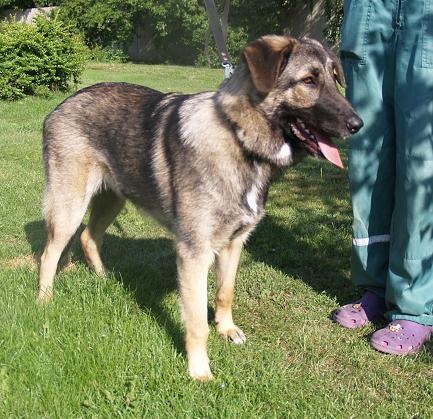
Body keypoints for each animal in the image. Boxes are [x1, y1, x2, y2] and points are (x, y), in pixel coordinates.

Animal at [39, 35, 363, 381]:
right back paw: (44, 300)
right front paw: (199, 369)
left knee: (89, 237)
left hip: (113, 198)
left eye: (334, 77)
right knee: (50, 253)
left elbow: (225, 292)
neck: (239, 140)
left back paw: (104, 278)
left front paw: (226, 329)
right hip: (70, 207)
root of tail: (59, 106)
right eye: (308, 81)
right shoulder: (194, 255)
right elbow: (196, 322)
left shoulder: (234, 244)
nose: (358, 125)